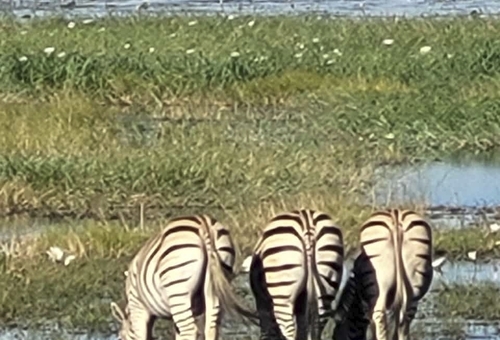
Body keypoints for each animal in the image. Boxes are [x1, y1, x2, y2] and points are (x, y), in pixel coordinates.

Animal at [110, 214, 258, 340]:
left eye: (121, 338)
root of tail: (204, 224)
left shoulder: (138, 308)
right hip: (216, 285)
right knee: (211, 328)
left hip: (178, 291)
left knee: (190, 330)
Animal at [248, 209, 346, 340]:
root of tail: (307, 224)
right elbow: (302, 329)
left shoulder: (263, 303)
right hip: (327, 281)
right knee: (318, 323)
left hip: (283, 291)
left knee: (289, 329)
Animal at [332, 209, 434, 338]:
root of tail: (396, 219)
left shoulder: (367, 304)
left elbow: (373, 326)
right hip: (414, 285)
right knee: (405, 320)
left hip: (380, 284)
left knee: (379, 316)